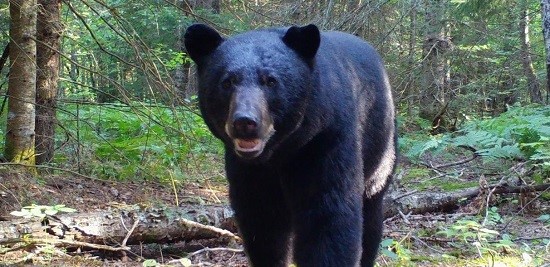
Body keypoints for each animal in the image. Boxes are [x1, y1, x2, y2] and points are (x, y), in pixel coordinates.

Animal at [185, 23, 396, 267]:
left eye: (271, 80)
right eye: (227, 82)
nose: (245, 122)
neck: (279, 153)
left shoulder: (325, 140)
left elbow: (328, 215)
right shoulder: (248, 170)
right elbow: (262, 223)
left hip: (381, 148)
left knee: (371, 216)